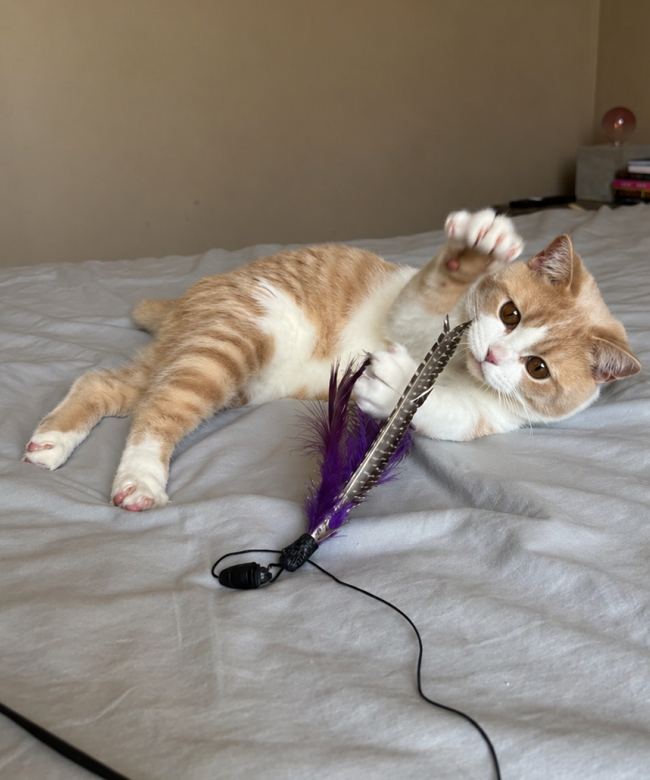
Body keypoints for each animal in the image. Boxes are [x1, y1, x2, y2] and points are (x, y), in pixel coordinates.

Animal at [23, 209, 641, 511]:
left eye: (538, 369)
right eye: (509, 313)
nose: (492, 353)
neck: (460, 367)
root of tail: (191, 296)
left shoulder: (483, 417)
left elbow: (438, 411)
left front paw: (395, 389)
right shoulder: (410, 315)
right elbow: (424, 299)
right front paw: (470, 253)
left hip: (211, 367)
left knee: (109, 384)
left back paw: (52, 441)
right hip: (227, 348)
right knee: (157, 414)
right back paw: (139, 479)